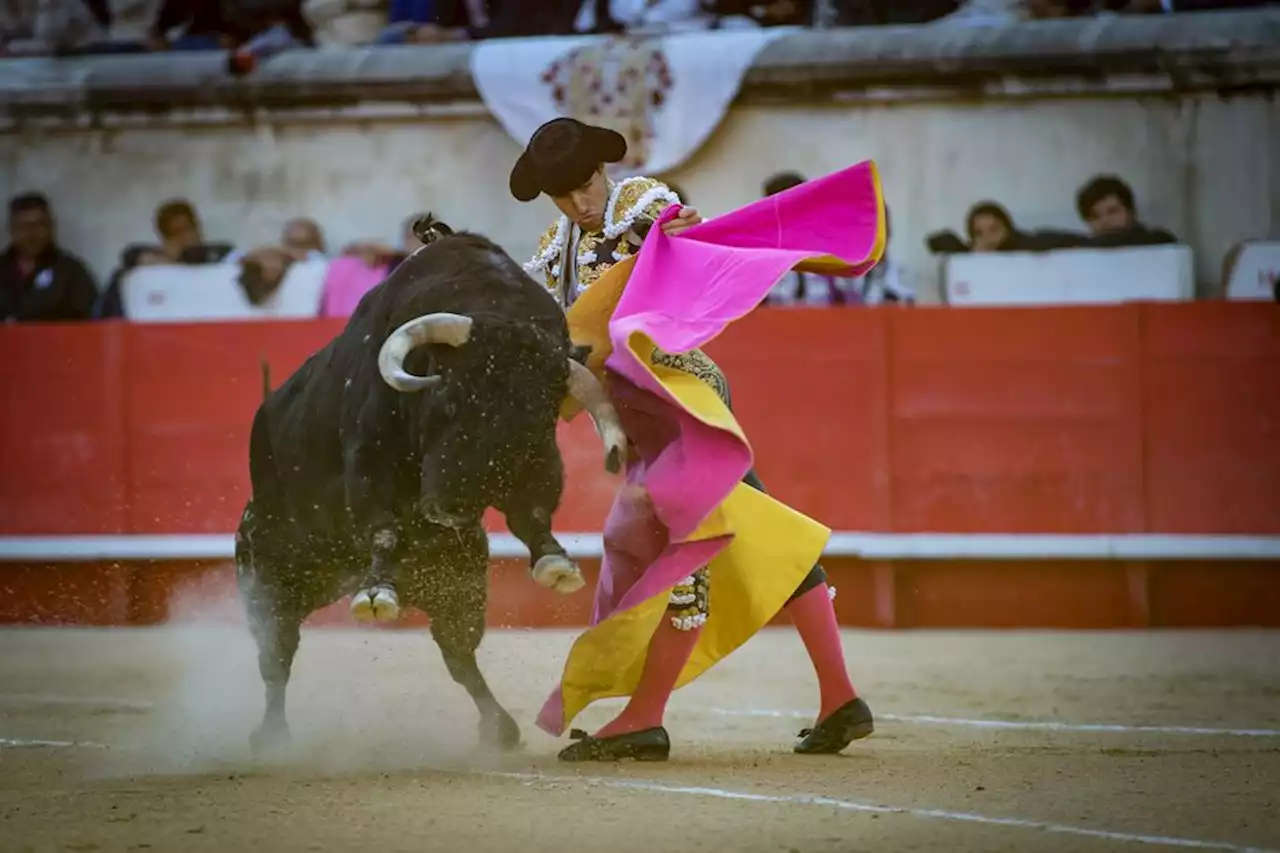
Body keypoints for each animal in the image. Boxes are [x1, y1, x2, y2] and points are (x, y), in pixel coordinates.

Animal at [238, 219, 627, 753]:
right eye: (448, 399)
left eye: (533, 422)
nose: (450, 510)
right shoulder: (370, 459)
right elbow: (381, 525)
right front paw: (377, 594)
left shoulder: (538, 461)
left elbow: (533, 511)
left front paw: (555, 563)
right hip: (269, 577)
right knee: (276, 658)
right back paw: (273, 735)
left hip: (455, 579)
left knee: (459, 655)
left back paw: (500, 728)